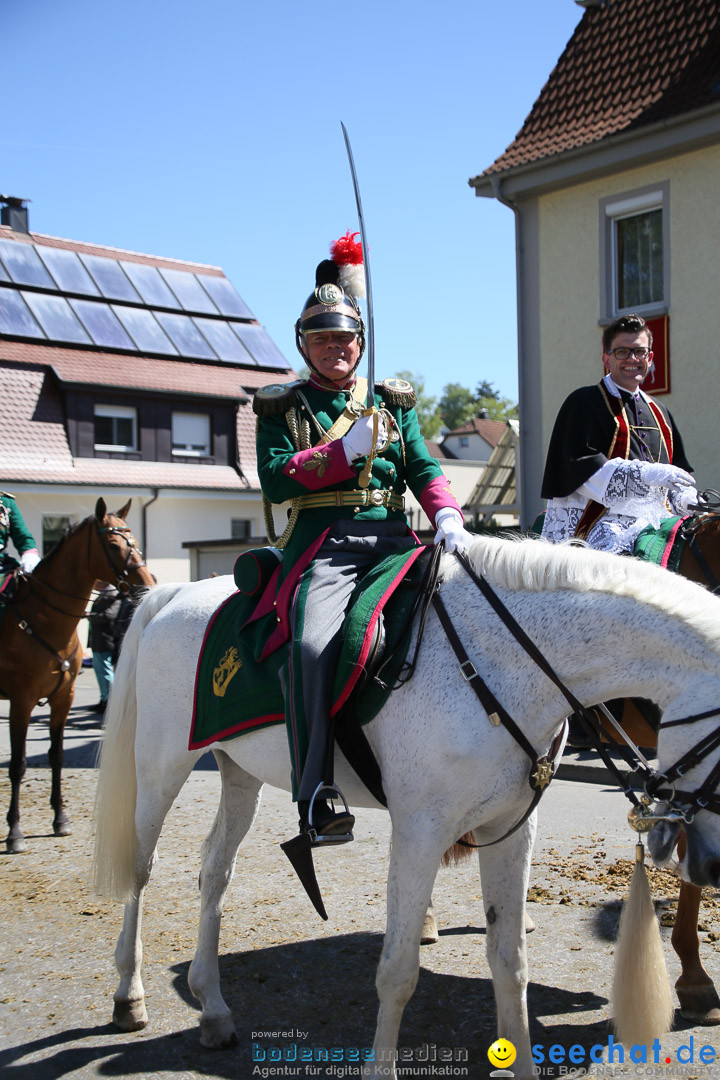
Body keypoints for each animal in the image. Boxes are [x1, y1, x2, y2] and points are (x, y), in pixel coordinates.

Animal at [1, 496, 155, 851]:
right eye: (112, 545)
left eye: (135, 542)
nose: (148, 585)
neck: (42, 619)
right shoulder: (21, 701)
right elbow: (18, 764)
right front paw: (14, 832)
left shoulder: (63, 698)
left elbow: (56, 756)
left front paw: (60, 818)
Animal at [94, 535, 720, 1075]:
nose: (710, 866)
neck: (502, 664)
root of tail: (178, 593)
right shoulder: (421, 832)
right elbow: (397, 971)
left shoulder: (511, 828)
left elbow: (509, 960)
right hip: (161, 767)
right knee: (140, 870)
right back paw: (128, 995)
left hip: (239, 773)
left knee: (214, 871)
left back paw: (214, 1009)